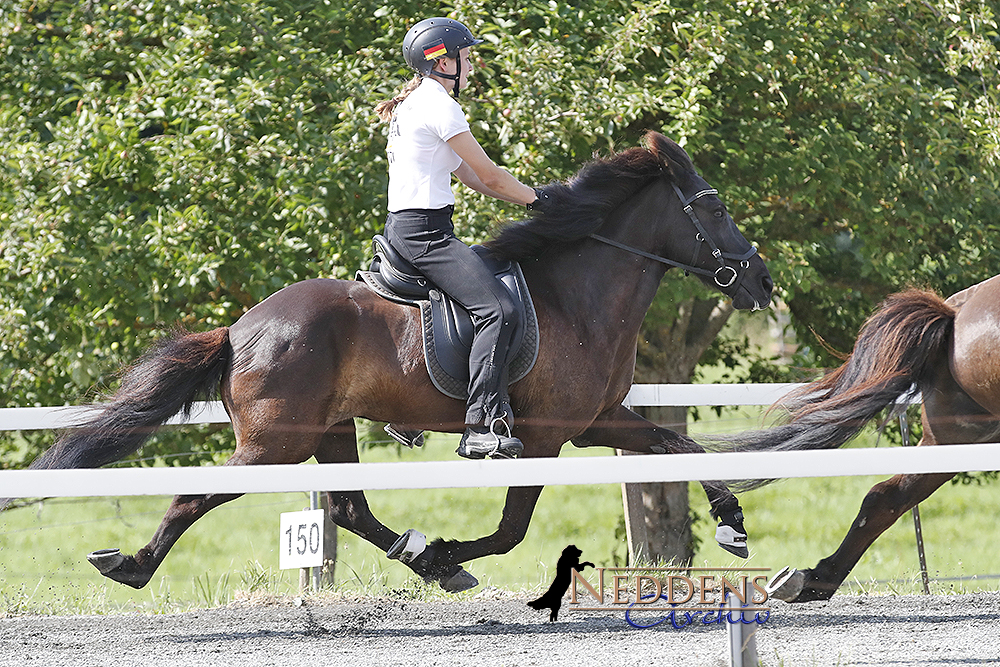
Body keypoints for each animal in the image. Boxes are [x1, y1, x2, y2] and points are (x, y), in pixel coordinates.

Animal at [21, 133, 772, 592]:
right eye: (713, 208)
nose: (762, 283)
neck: (575, 294)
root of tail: (239, 328)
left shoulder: (597, 422)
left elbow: (679, 445)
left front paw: (732, 523)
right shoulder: (544, 436)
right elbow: (511, 530)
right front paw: (448, 553)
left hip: (328, 430)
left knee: (349, 507)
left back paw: (417, 555)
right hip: (275, 443)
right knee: (197, 494)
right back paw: (131, 566)